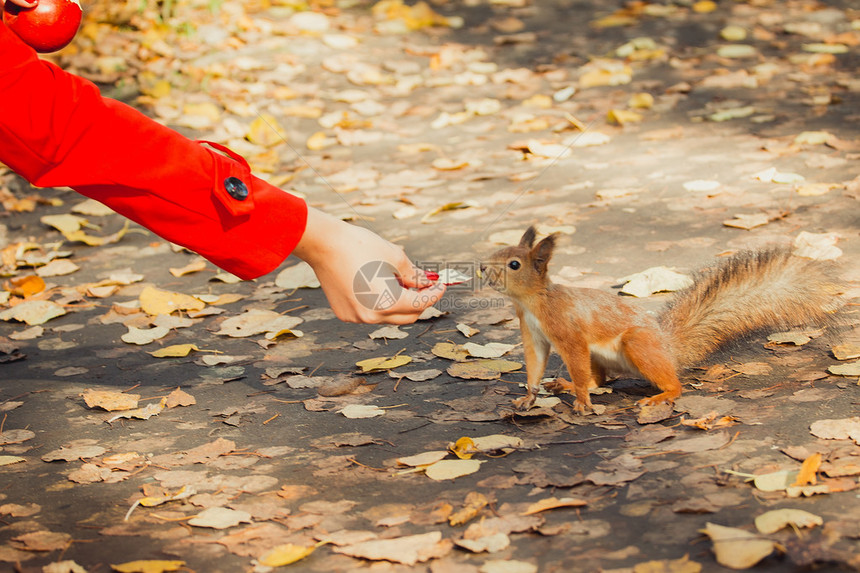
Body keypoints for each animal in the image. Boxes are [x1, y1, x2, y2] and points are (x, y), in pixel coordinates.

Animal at [480, 226, 844, 414]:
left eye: (514, 264)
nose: (482, 267)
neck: (533, 303)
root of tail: (669, 348)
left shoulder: (570, 335)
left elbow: (578, 367)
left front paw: (581, 401)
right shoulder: (533, 335)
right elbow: (535, 366)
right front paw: (530, 397)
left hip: (639, 344)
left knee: (672, 384)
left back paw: (662, 395)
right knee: (601, 380)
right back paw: (564, 384)